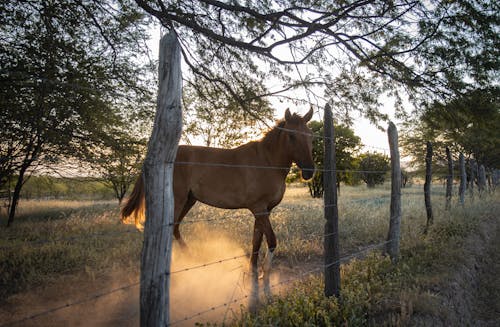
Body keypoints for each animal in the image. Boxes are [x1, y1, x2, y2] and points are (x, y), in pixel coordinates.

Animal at [121, 109, 314, 308]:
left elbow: (256, 242)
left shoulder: (262, 210)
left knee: (175, 228)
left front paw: (253, 273)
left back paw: (191, 260)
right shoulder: (259, 208)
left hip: (189, 201)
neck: (266, 162)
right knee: (169, 230)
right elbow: (272, 241)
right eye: (291, 136)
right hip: (179, 201)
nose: (309, 172)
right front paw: (265, 279)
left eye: (311, 135)